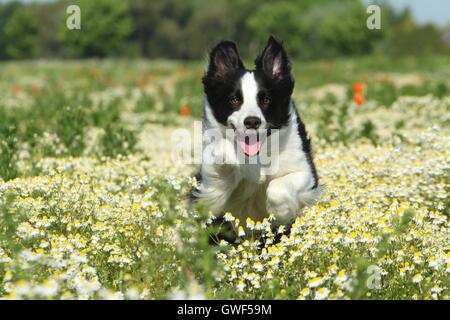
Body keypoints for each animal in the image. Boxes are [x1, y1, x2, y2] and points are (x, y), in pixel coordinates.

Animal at [192, 36, 318, 224]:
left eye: (266, 99)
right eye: (234, 99)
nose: (252, 122)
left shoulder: (305, 171)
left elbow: (277, 188)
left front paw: (281, 212)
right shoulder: (210, 192)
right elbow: (221, 151)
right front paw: (250, 170)